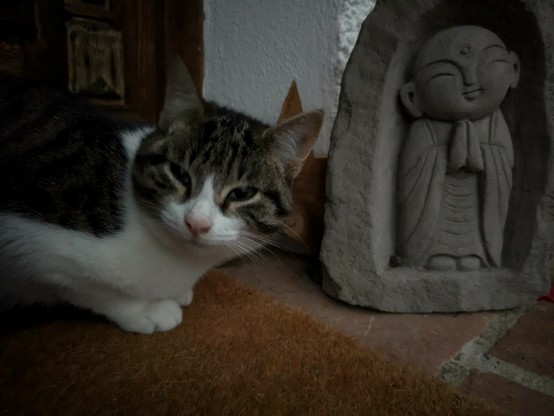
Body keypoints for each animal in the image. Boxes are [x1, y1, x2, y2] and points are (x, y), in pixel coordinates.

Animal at [0, 60, 322, 334]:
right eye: (179, 173)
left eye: (242, 193)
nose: (196, 223)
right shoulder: (34, 245)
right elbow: (88, 288)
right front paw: (144, 310)